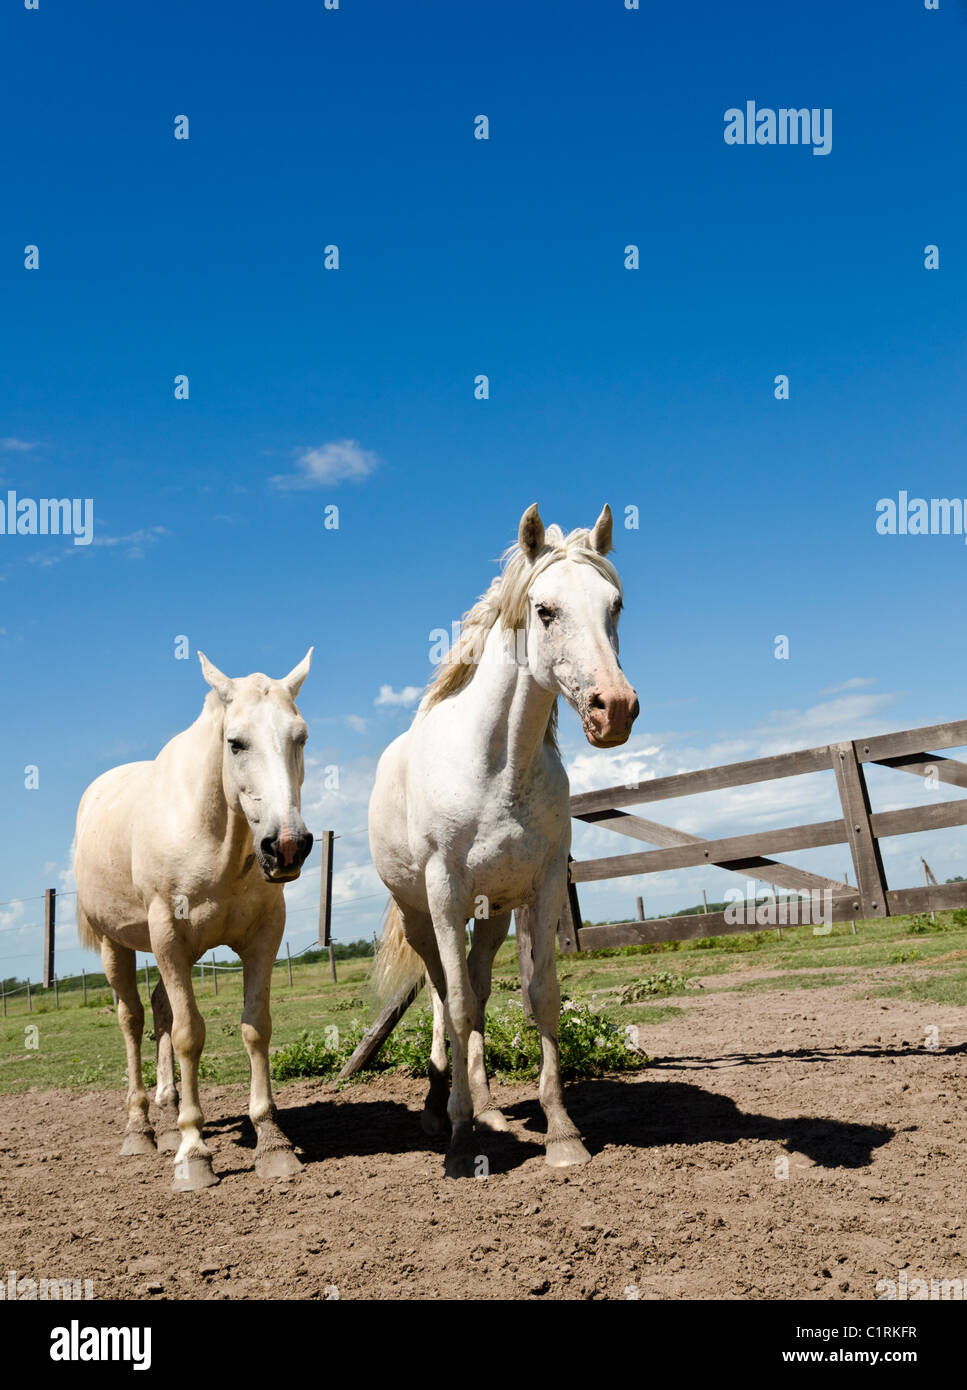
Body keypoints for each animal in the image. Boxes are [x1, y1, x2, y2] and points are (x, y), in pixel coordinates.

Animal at [73, 649, 314, 1192]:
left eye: (301, 736)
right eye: (235, 742)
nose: (287, 846)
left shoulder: (263, 938)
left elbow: (255, 1027)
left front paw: (272, 1142)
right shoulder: (168, 939)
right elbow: (188, 1035)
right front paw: (192, 1153)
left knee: (161, 1008)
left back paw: (170, 1111)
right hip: (117, 945)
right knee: (133, 1019)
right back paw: (141, 1129)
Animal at [369, 503, 638, 1176]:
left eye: (615, 605)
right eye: (544, 610)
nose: (615, 708)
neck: (498, 767)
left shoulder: (540, 889)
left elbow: (540, 997)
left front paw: (562, 1132)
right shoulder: (444, 895)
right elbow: (458, 1006)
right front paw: (461, 1142)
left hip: (490, 915)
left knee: (477, 987)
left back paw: (486, 1105)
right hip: (421, 914)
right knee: (445, 996)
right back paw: (442, 1108)